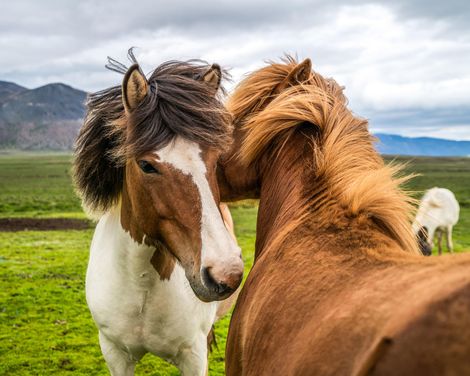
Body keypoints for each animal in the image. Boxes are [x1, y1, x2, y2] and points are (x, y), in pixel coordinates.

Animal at [74, 51, 244, 374]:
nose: (225, 273)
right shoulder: (114, 353)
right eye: (146, 165)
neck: (142, 287)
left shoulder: (193, 356)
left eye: (217, 160)